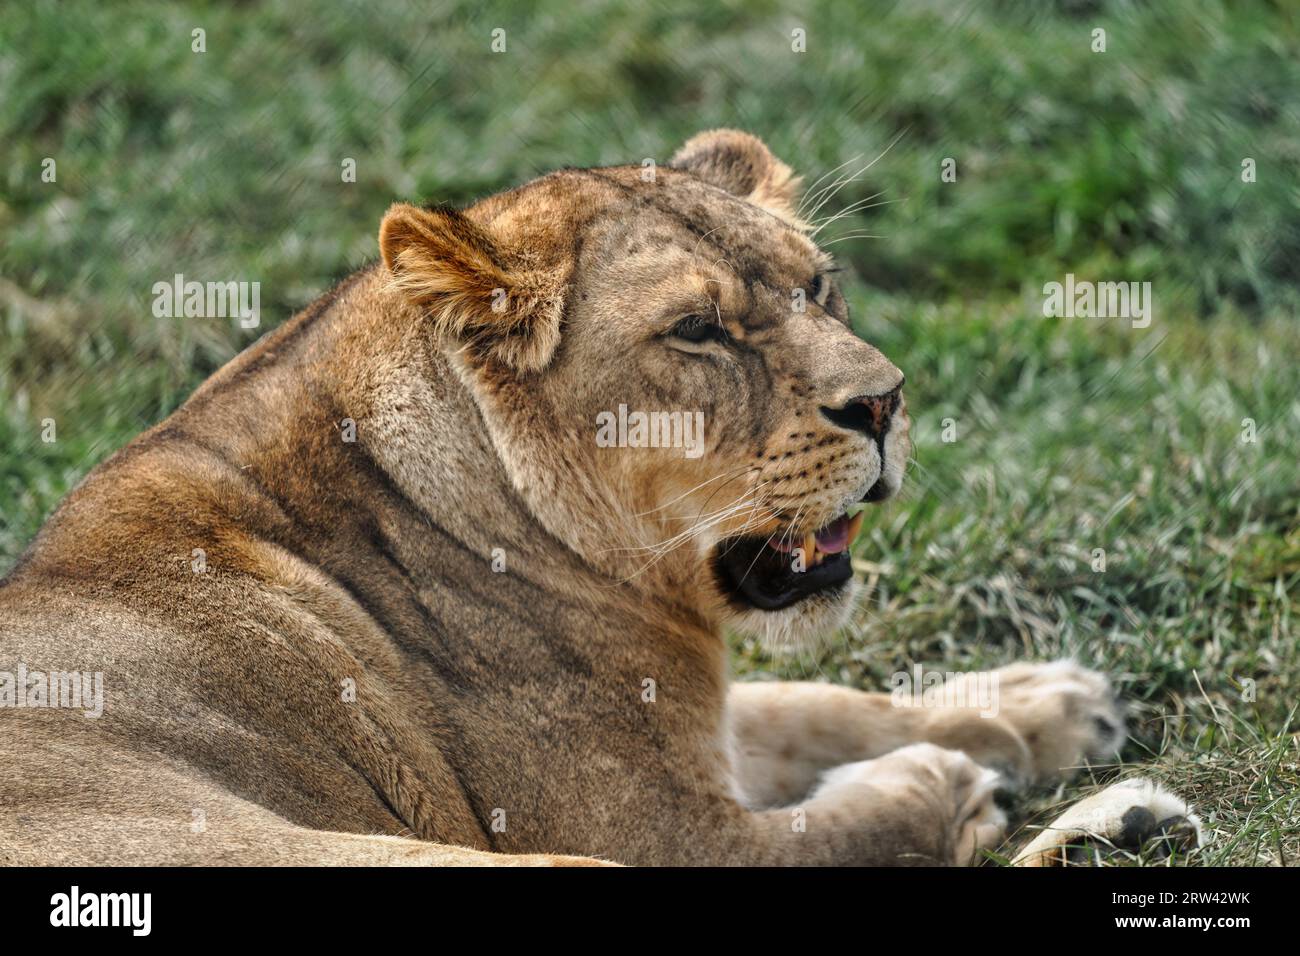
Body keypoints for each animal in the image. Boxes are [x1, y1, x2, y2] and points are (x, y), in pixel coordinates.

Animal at [0, 130, 1199, 866]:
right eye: (697, 330)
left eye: (817, 286)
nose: (887, 401)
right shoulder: (666, 835)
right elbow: (842, 823)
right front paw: (953, 778)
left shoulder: (692, 713)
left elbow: (826, 700)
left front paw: (1042, 703)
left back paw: (1130, 821)